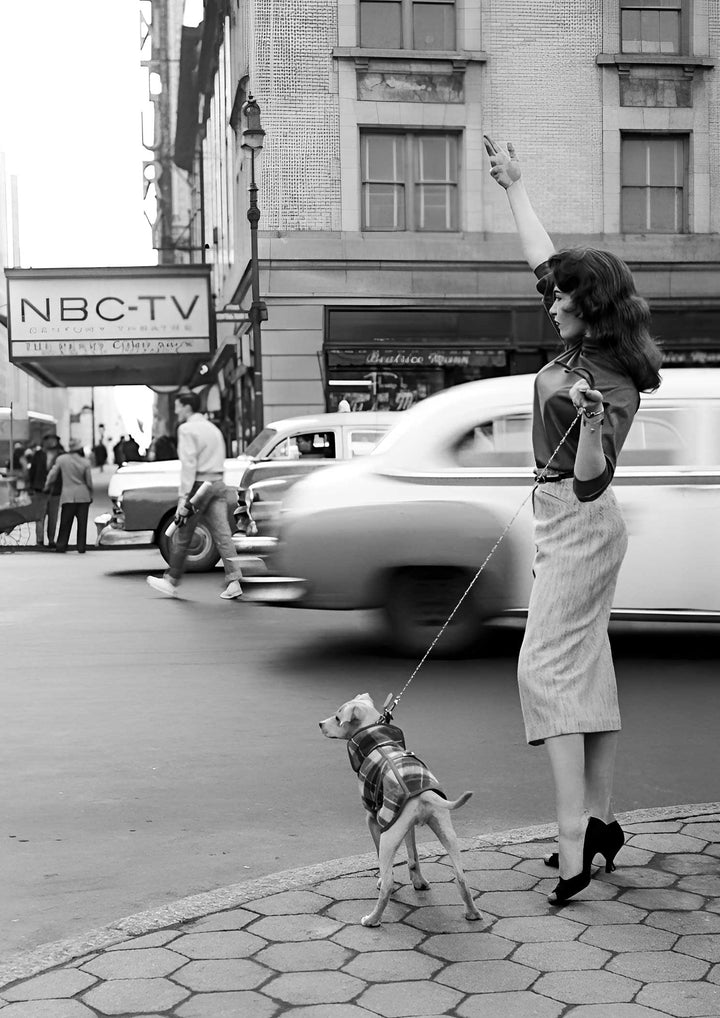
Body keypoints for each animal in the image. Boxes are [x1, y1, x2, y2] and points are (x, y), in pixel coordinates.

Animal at [321, 692, 484, 932]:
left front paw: (382, 878)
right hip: (445, 831)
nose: (320, 724)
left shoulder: (373, 818)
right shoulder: (407, 828)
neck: (377, 740)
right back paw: (472, 913)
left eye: (337, 717)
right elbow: (413, 855)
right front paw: (419, 882)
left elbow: (383, 862)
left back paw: (373, 919)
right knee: (461, 877)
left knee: (388, 885)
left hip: (390, 834)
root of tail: (423, 795)